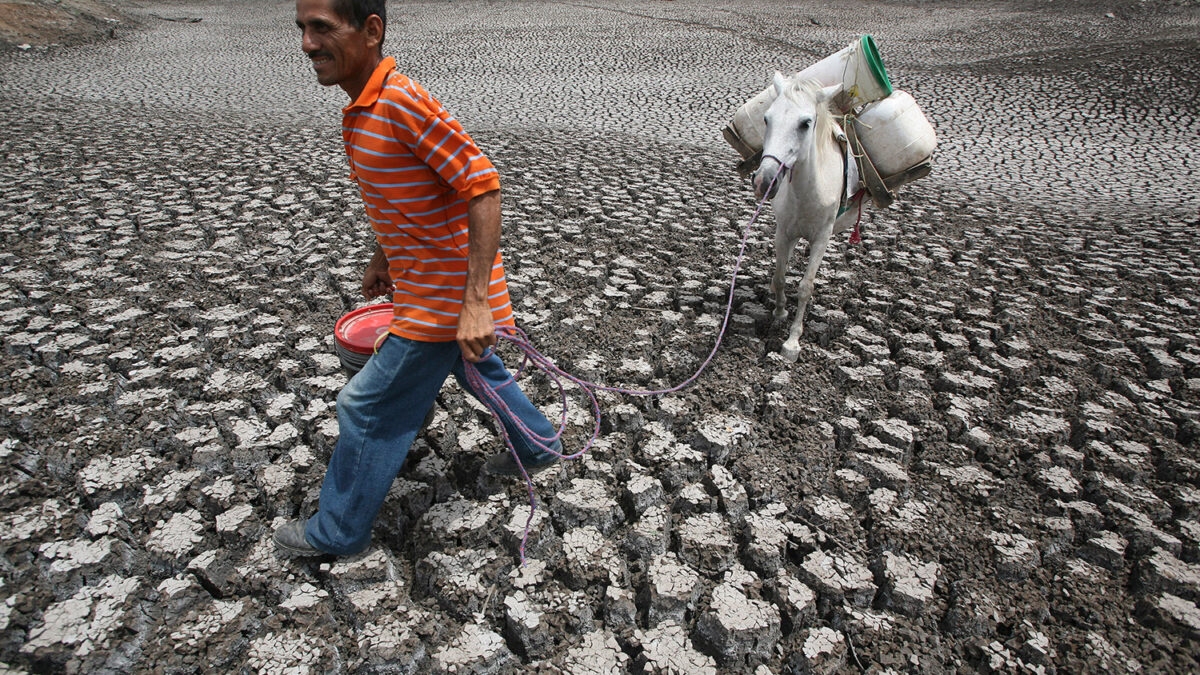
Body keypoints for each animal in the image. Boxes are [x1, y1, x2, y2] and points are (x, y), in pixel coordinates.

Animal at [748, 73, 864, 362]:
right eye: (766, 118)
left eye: (806, 123)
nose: (764, 180)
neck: (806, 191)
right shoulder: (782, 231)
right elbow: (780, 275)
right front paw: (779, 311)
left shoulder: (823, 237)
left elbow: (805, 286)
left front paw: (792, 341)